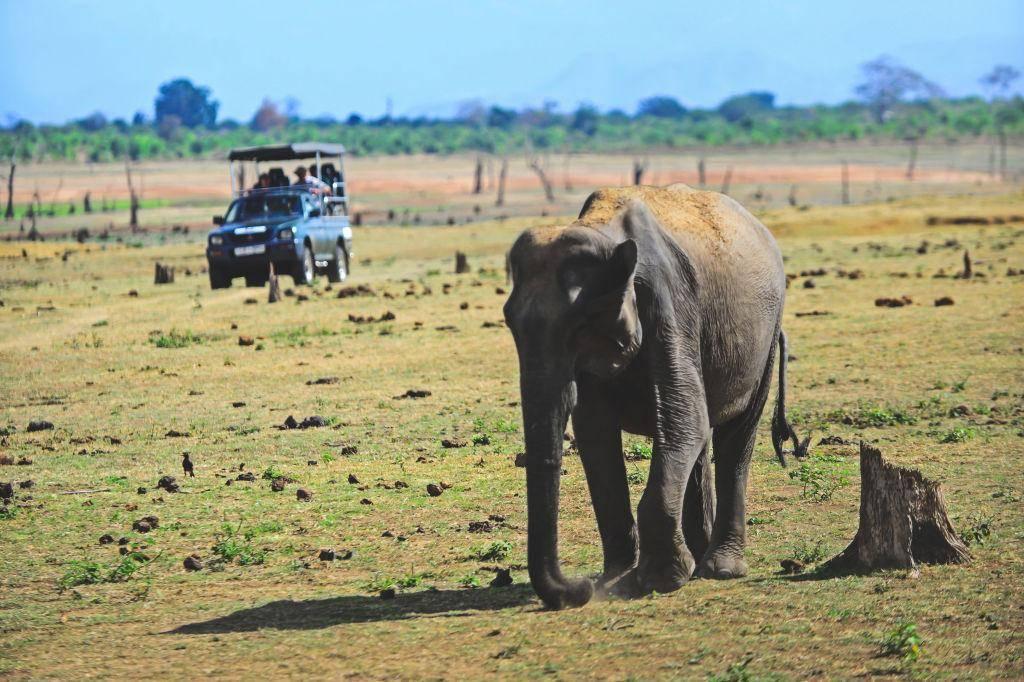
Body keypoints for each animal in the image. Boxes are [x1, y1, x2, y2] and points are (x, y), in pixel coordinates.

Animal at [503, 183, 806, 606]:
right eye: (508, 322)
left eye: (580, 326)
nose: (579, 587)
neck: (603, 231)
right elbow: (596, 434)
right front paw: (613, 579)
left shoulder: (670, 303)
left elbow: (685, 421)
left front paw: (655, 580)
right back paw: (699, 554)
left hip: (765, 339)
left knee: (734, 438)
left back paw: (719, 568)